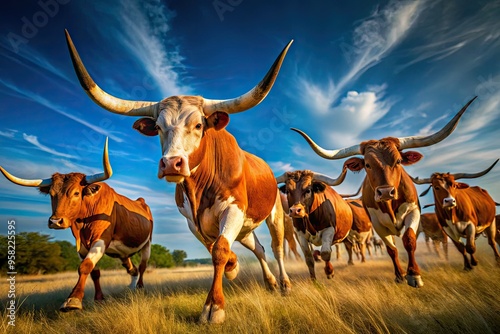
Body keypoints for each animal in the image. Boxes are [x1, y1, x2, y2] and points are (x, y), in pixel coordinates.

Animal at [0, 138, 152, 310]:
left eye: (76, 193)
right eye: (51, 194)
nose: (55, 221)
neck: (83, 224)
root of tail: (141, 201)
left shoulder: (101, 239)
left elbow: (85, 266)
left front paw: (73, 300)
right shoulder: (82, 246)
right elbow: (94, 272)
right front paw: (98, 298)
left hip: (147, 243)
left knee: (142, 266)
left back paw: (139, 288)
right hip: (123, 252)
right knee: (132, 269)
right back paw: (131, 288)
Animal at [66, 30, 292, 322]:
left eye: (198, 125)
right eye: (159, 128)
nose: (171, 163)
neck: (200, 187)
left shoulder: (234, 209)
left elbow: (220, 250)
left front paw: (214, 307)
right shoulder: (193, 222)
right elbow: (216, 250)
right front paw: (232, 268)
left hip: (274, 214)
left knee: (276, 248)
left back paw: (284, 284)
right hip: (245, 228)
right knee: (259, 249)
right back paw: (270, 282)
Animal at [292, 96, 476, 288]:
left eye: (398, 161)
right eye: (367, 164)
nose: (386, 192)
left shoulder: (413, 212)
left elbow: (409, 240)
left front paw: (414, 275)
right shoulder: (377, 223)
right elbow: (391, 249)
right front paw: (400, 275)